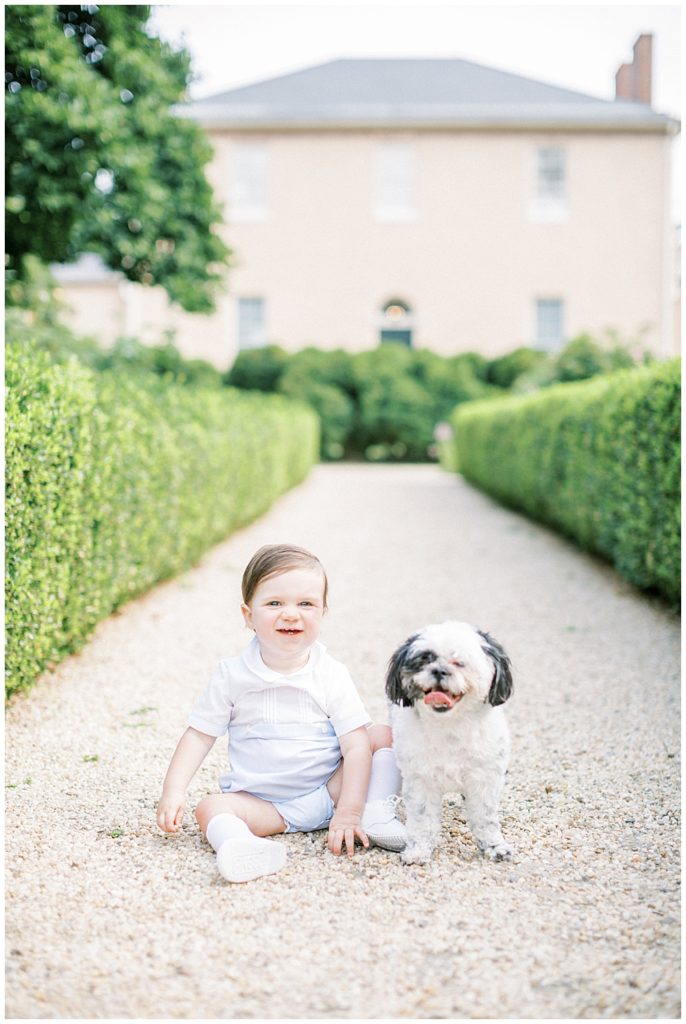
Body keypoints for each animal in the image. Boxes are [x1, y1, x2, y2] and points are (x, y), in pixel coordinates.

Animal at [387, 622, 516, 864]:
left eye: (459, 662)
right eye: (425, 659)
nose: (439, 670)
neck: (450, 727)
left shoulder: (484, 780)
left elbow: (485, 818)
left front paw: (495, 847)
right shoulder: (421, 782)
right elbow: (422, 820)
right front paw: (418, 850)